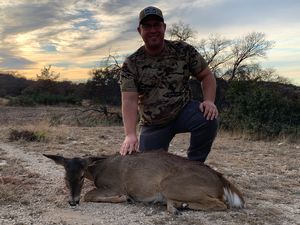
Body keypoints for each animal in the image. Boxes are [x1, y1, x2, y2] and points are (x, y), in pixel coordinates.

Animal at [45, 150, 246, 214]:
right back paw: (177, 206)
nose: (72, 201)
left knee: (222, 204)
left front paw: (124, 198)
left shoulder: (115, 185)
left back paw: (181, 206)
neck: (98, 169)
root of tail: (219, 178)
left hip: (170, 184)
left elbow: (88, 194)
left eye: (80, 176)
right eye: (65, 176)